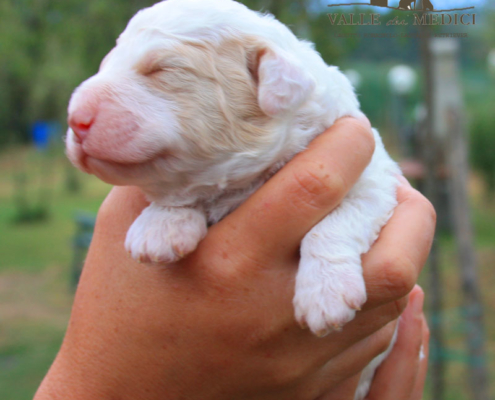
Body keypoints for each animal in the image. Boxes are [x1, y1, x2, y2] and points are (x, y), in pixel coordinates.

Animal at [65, 0, 404, 396]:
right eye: (106, 64)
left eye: (162, 69)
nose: (75, 119)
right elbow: (176, 193)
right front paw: (160, 227)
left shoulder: (375, 182)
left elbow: (333, 226)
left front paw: (325, 294)